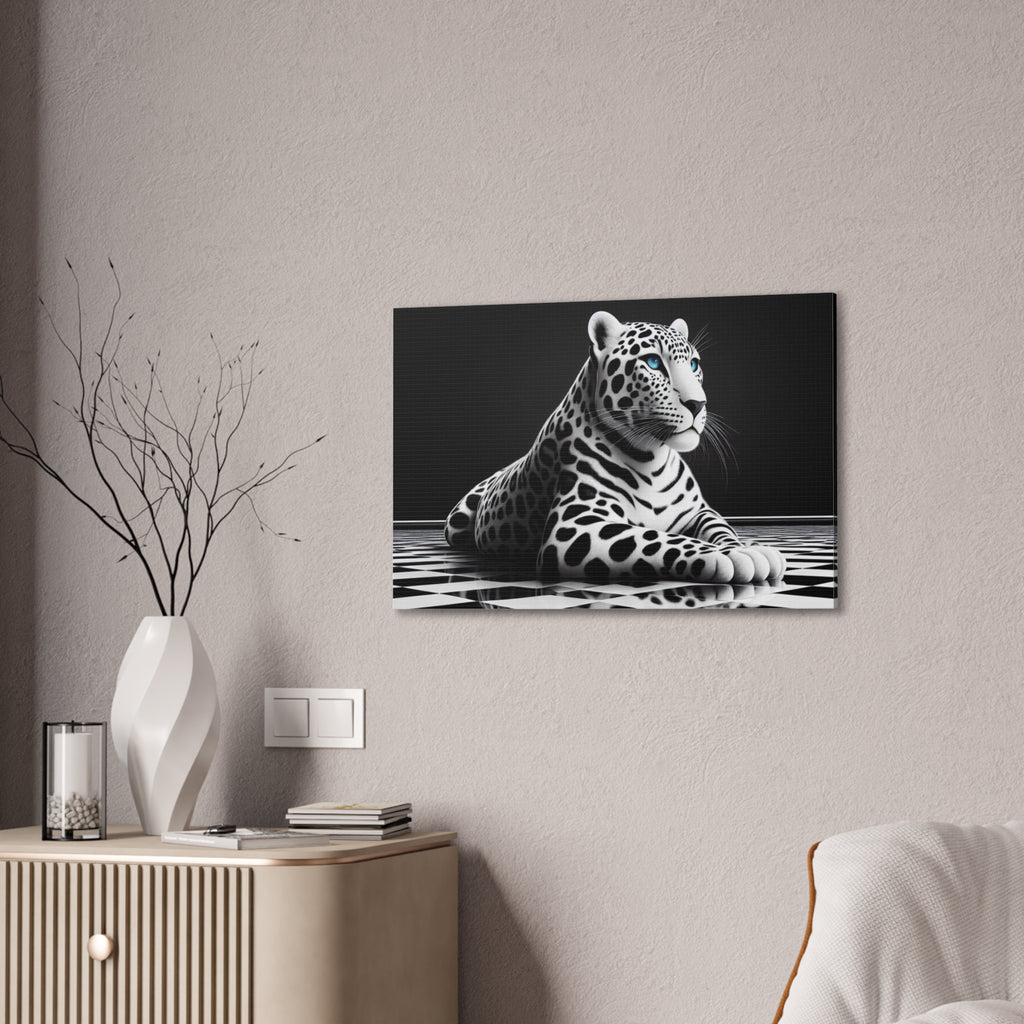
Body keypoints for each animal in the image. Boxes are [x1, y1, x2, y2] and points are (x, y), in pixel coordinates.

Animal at [444, 310, 786, 586]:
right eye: (653, 362)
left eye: (694, 364)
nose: (698, 404)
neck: (653, 460)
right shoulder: (576, 525)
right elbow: (656, 538)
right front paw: (728, 557)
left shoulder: (698, 511)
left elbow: (721, 528)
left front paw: (744, 547)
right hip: (455, 523)